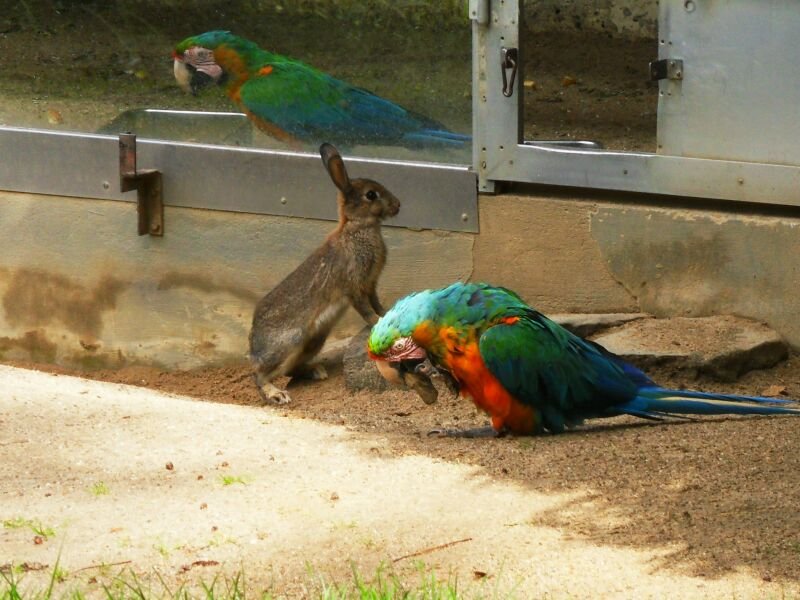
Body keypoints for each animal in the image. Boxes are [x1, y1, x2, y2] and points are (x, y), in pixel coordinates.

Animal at [248, 142, 401, 405]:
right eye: (371, 195)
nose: (398, 205)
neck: (357, 228)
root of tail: (253, 347)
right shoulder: (354, 286)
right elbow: (365, 309)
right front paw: (377, 321)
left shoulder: (370, 284)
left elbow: (376, 302)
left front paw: (385, 314)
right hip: (291, 340)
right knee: (259, 375)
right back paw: (276, 394)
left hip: (315, 340)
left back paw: (315, 371)